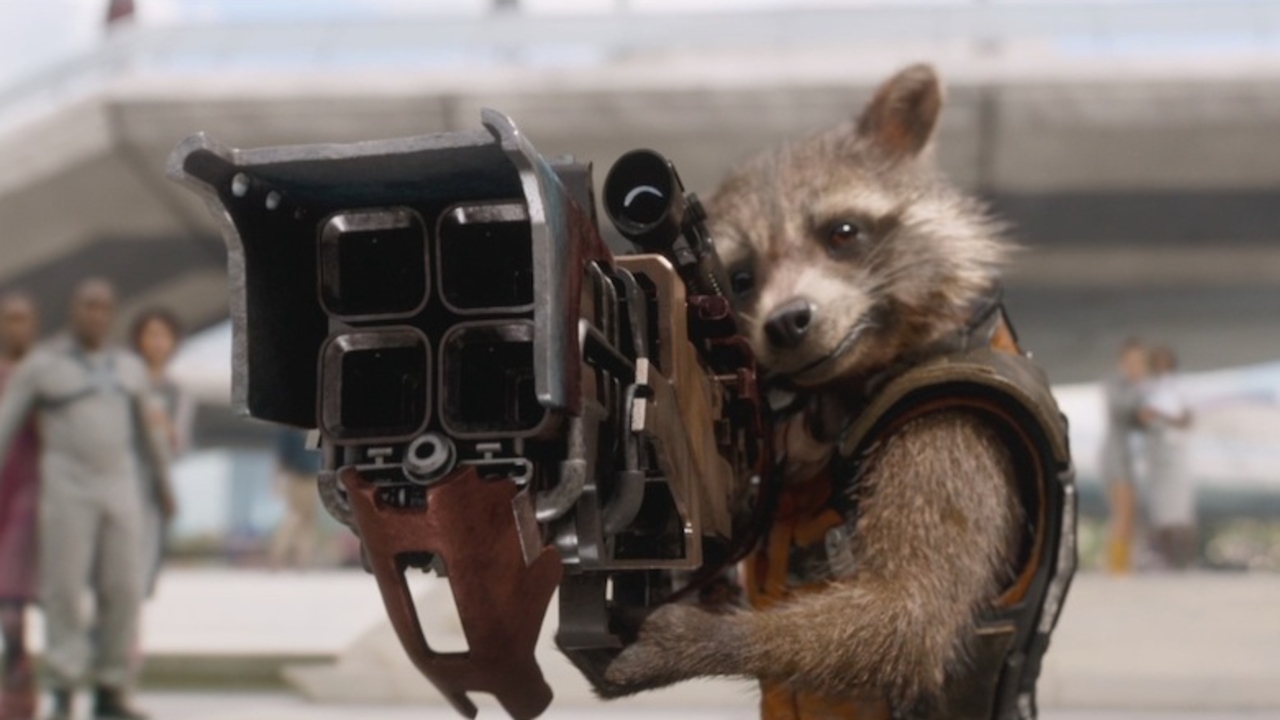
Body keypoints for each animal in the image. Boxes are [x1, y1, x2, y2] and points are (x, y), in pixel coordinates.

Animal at [602, 64, 1031, 716]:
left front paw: (698, 637)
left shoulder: (951, 428)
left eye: (842, 233)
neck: (854, 378)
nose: (786, 323)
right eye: (743, 278)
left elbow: (911, 615)